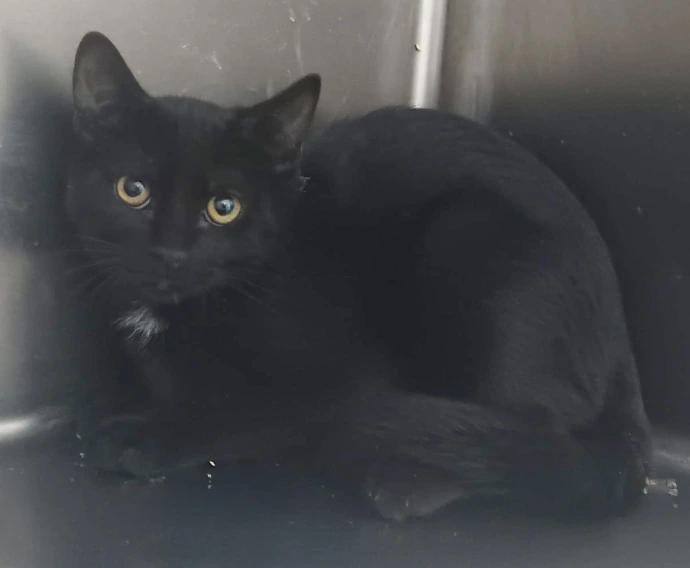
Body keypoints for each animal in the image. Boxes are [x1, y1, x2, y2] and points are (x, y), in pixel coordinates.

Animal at [65, 31, 651, 521]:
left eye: (224, 207)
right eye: (132, 190)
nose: (170, 253)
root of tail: (622, 347)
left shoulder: (335, 377)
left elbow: (243, 409)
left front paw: (147, 437)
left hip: (467, 232)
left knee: (543, 438)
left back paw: (409, 482)